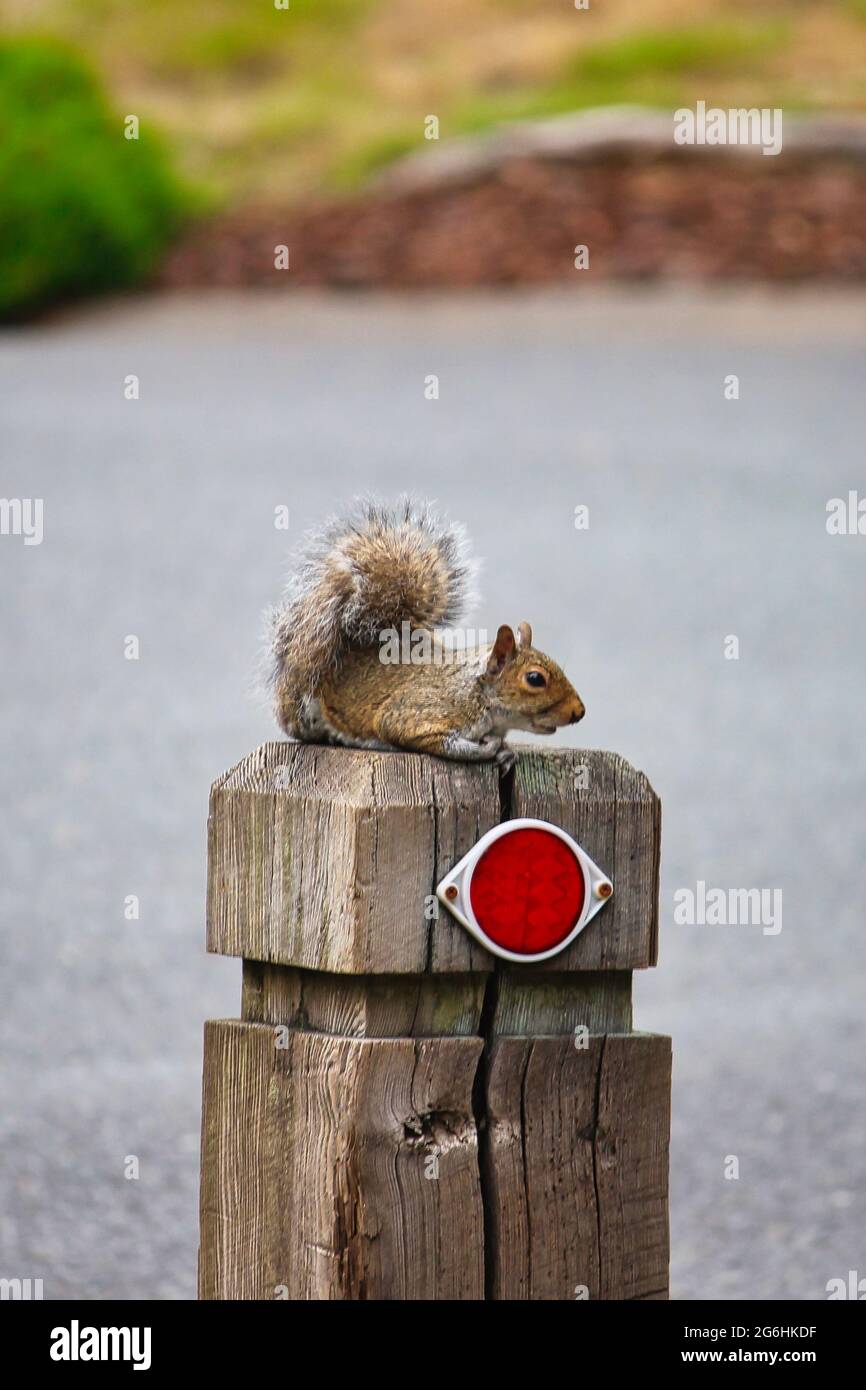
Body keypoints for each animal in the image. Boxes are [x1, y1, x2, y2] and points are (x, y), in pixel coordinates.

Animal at [269, 499, 585, 771]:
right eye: (535, 679)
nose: (579, 712)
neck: (475, 691)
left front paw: (506, 753)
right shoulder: (416, 714)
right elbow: (430, 739)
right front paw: (486, 749)